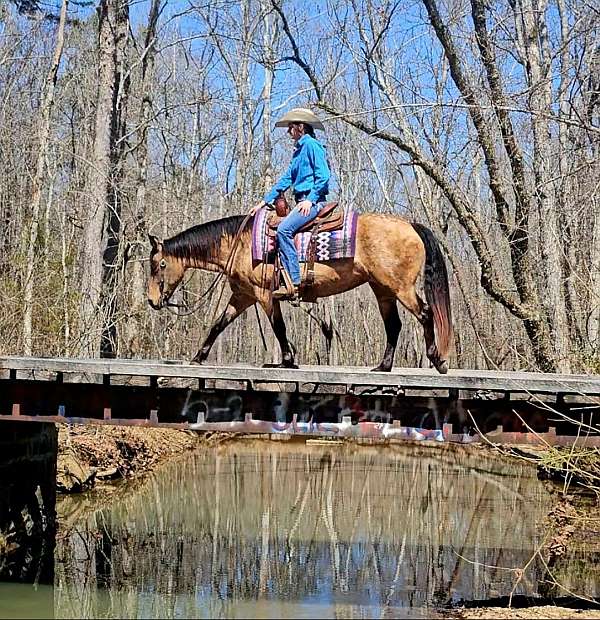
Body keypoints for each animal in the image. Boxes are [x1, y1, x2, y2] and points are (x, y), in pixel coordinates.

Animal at [148, 211, 452, 370]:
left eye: (159, 265)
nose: (152, 301)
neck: (240, 244)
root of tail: (411, 225)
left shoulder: (263, 294)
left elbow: (278, 327)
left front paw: (287, 361)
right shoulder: (243, 296)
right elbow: (218, 324)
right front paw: (198, 357)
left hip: (400, 287)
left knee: (425, 314)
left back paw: (437, 359)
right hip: (383, 289)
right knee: (394, 325)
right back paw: (384, 366)